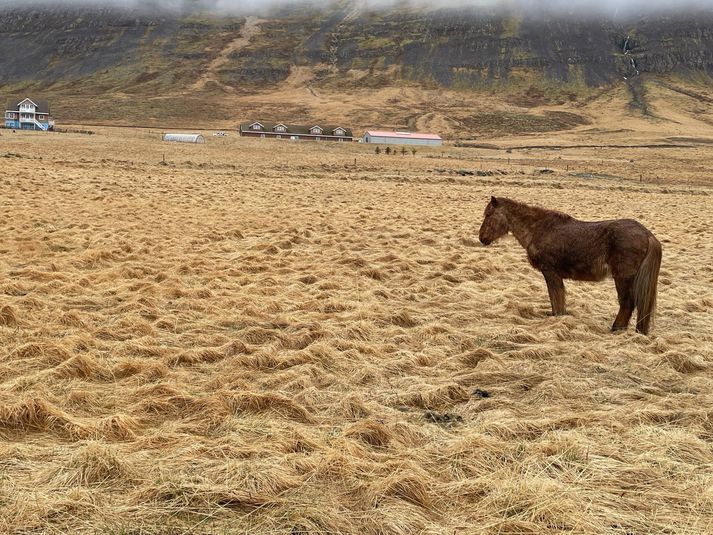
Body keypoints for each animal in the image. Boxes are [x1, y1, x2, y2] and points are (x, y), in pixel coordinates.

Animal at [478, 197, 660, 336]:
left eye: (488, 214)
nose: (482, 238)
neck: (539, 228)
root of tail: (647, 234)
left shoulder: (550, 272)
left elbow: (556, 297)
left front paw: (557, 318)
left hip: (622, 278)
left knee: (627, 303)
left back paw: (615, 329)